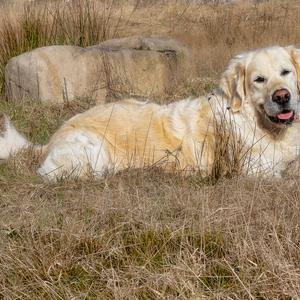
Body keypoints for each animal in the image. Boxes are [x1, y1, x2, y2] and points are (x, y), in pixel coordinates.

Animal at [0, 45, 300, 180]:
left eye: (286, 72)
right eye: (259, 79)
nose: (282, 96)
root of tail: (51, 139)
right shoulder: (255, 168)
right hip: (92, 151)